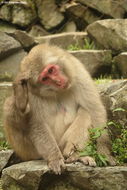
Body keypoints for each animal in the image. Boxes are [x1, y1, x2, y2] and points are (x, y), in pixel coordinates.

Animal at [3, 43, 115, 174]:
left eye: (51, 70)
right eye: (44, 79)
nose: (58, 81)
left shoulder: (78, 72)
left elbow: (94, 109)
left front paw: (104, 151)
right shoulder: (30, 92)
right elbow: (37, 123)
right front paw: (54, 158)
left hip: (62, 143)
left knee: (85, 111)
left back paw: (75, 155)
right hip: (28, 151)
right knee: (9, 107)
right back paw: (20, 101)